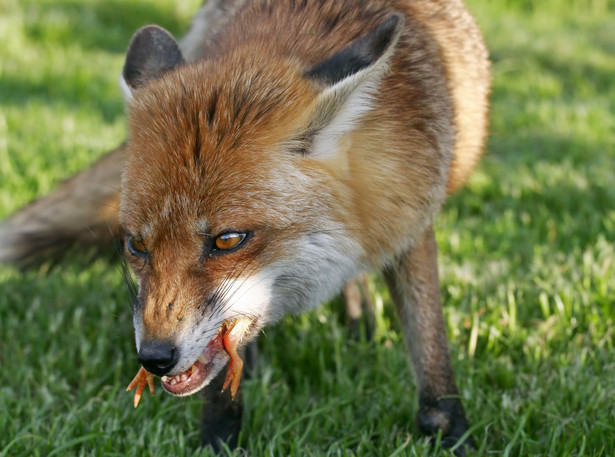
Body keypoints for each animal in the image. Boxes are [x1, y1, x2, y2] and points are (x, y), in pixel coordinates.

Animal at [0, 0, 490, 452]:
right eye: (136, 245)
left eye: (228, 240)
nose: (154, 358)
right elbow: (220, 380)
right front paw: (218, 440)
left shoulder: (410, 214)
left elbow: (430, 345)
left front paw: (453, 435)